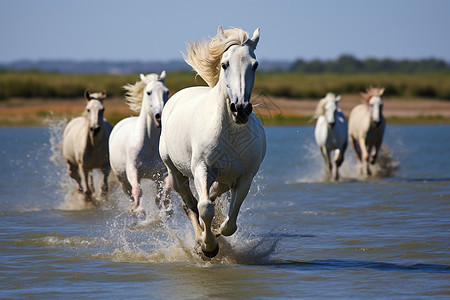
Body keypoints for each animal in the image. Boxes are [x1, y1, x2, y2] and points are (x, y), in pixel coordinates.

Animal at [109, 71, 171, 212]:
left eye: (167, 91)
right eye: (148, 92)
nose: (159, 117)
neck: (150, 143)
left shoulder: (162, 173)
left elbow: (167, 188)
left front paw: (164, 206)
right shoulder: (132, 168)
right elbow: (137, 190)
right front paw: (139, 210)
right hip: (122, 180)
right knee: (130, 193)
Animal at [161, 27, 268, 258]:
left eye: (255, 65)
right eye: (224, 64)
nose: (241, 109)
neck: (231, 133)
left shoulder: (244, 178)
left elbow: (230, 223)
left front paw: (216, 235)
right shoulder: (203, 168)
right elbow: (205, 208)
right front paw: (208, 247)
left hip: (224, 179)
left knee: (210, 196)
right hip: (176, 172)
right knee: (190, 203)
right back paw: (199, 238)